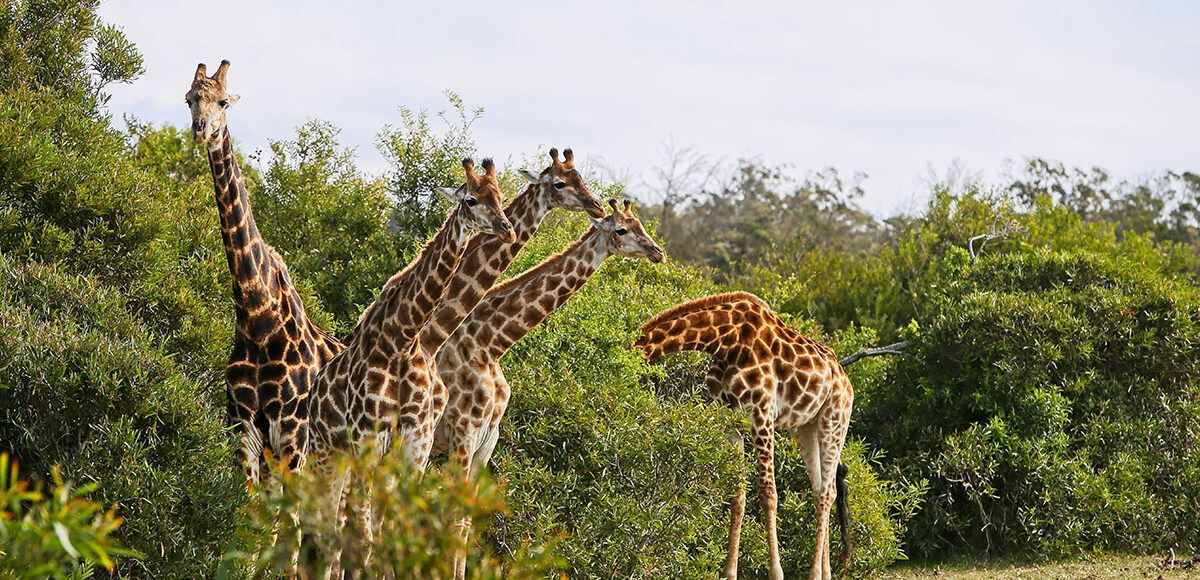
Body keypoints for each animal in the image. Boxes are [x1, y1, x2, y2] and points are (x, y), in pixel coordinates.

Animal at [184, 60, 348, 485]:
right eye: (190, 99)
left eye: (223, 101)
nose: (201, 130)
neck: (257, 318)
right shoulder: (244, 430)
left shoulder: (293, 433)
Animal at [307, 157, 513, 576]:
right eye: (470, 199)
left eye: (499, 196)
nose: (505, 228)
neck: (403, 337)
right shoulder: (368, 438)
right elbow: (369, 536)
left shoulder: (416, 440)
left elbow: (397, 530)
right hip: (325, 453)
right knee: (324, 527)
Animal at [432, 199, 667, 580]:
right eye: (621, 229)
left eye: (641, 225)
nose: (657, 252)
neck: (488, 344)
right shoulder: (462, 434)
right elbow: (454, 517)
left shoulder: (486, 441)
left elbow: (465, 521)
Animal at [638, 293, 854, 580]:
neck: (723, 340)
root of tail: (844, 377)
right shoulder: (731, 422)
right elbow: (737, 496)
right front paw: (730, 572)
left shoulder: (762, 415)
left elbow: (768, 494)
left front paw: (776, 572)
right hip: (807, 427)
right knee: (820, 488)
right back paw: (824, 573)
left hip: (835, 419)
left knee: (827, 493)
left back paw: (814, 573)